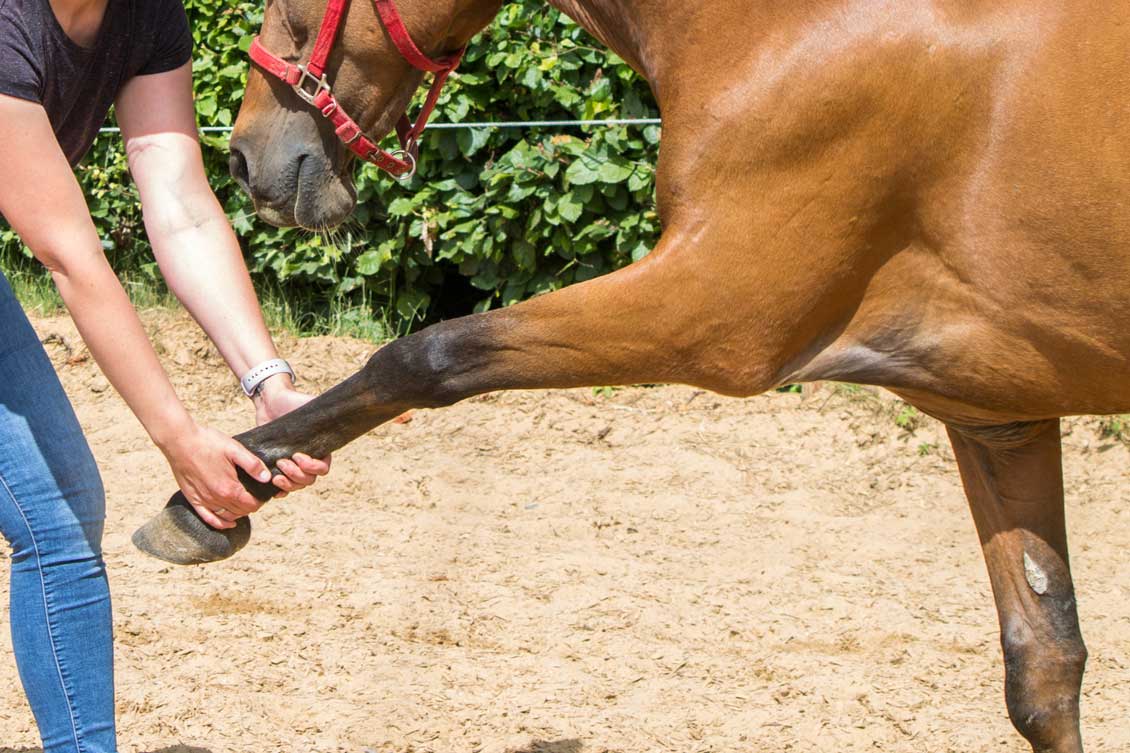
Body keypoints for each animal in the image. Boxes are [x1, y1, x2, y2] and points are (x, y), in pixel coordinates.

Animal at [132, 1, 1130, 750]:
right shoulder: (994, 410)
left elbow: (428, 354)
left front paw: (215, 495)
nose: (245, 158)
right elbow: (1044, 664)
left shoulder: (715, 311)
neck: (795, 26)